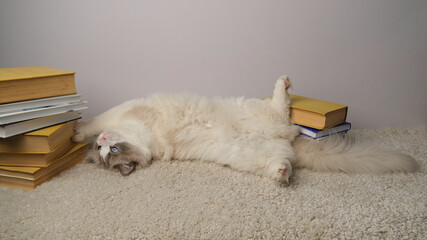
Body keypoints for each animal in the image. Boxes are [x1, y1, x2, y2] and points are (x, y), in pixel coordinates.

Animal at [72, 76, 418, 185]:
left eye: (112, 150)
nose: (103, 142)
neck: (151, 138)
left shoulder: (123, 111)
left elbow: (92, 121)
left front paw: (76, 133)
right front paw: (82, 136)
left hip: (256, 110)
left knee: (282, 105)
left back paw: (283, 82)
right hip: (255, 151)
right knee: (284, 158)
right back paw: (281, 174)